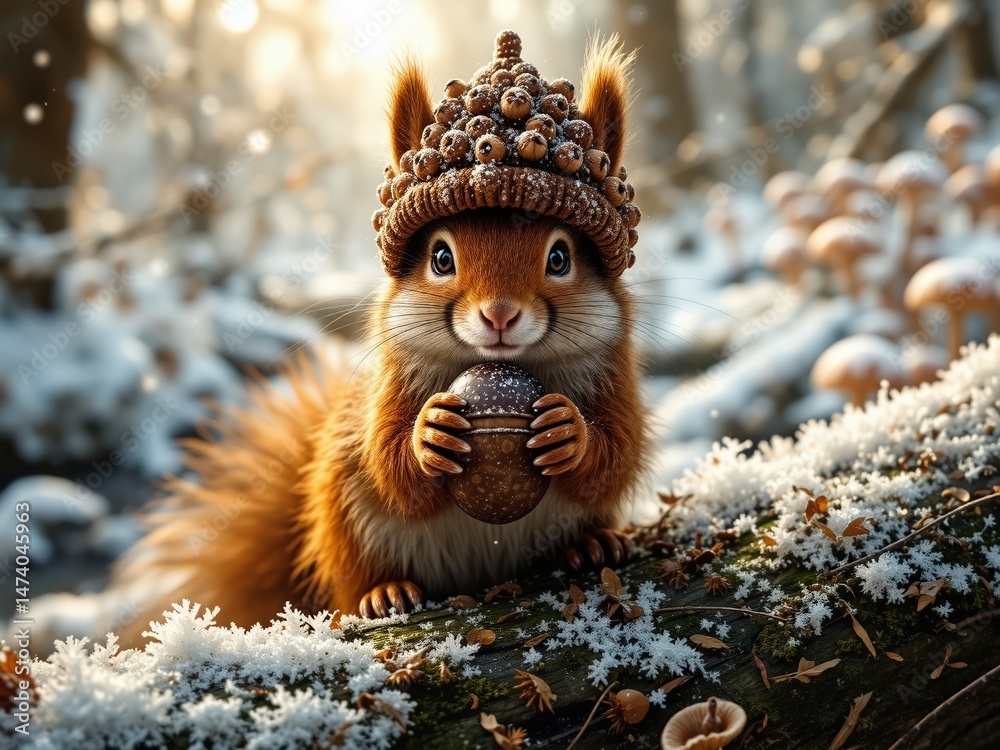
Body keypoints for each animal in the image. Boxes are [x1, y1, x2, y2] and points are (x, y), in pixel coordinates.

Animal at [112, 33, 647, 639]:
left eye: (560, 258)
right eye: (441, 257)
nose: (500, 316)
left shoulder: (614, 375)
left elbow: (619, 451)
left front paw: (570, 432)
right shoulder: (389, 389)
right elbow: (387, 459)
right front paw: (427, 436)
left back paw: (593, 544)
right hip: (344, 516)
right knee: (351, 580)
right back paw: (382, 592)